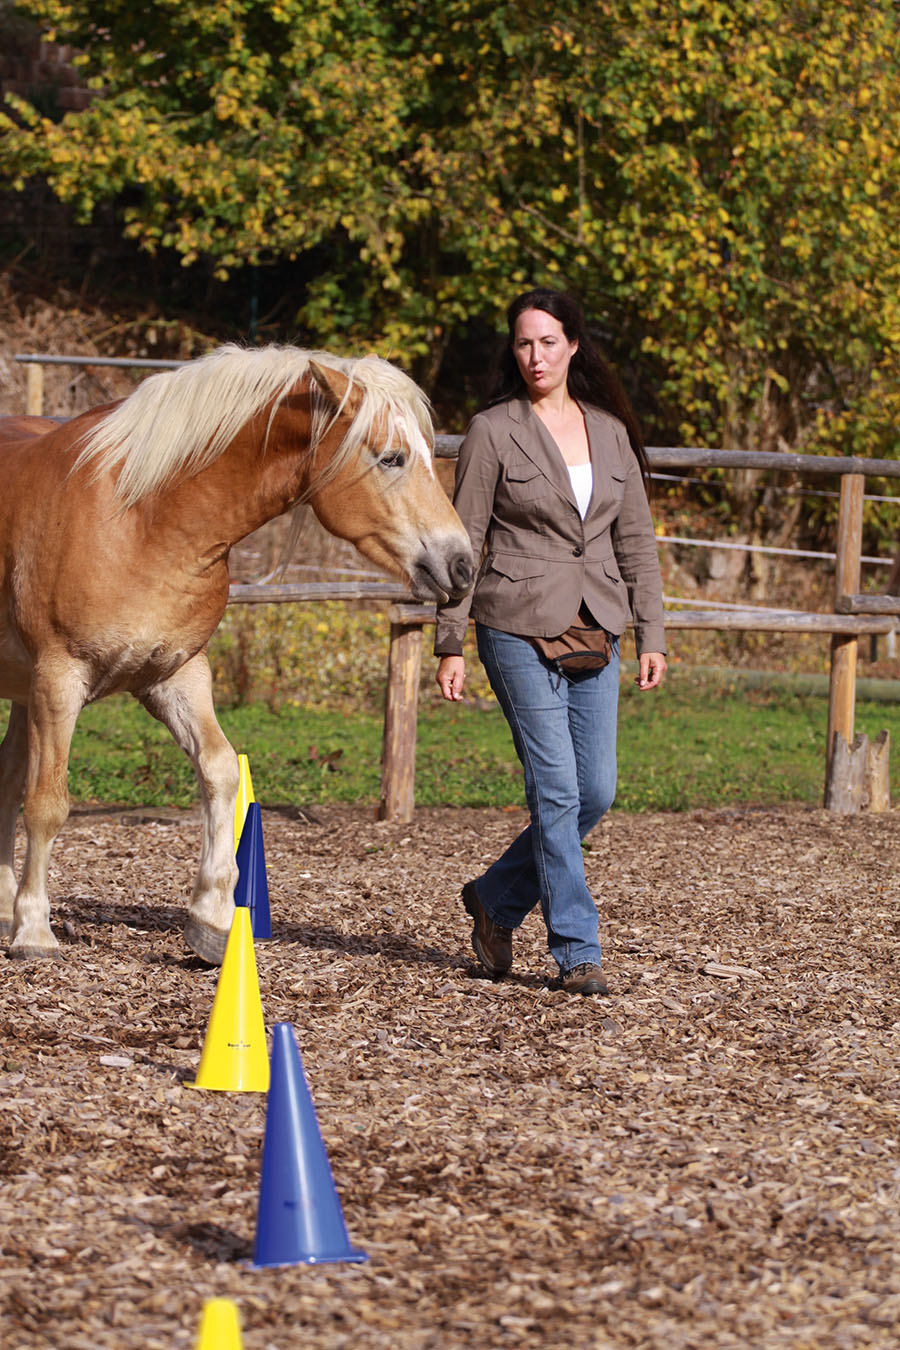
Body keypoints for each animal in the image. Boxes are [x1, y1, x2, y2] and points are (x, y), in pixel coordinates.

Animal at [0, 342, 474, 966]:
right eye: (392, 458)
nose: (463, 565)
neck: (140, 518)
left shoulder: (176, 675)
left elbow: (221, 773)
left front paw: (211, 919)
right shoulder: (60, 679)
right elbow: (48, 803)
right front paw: (34, 930)